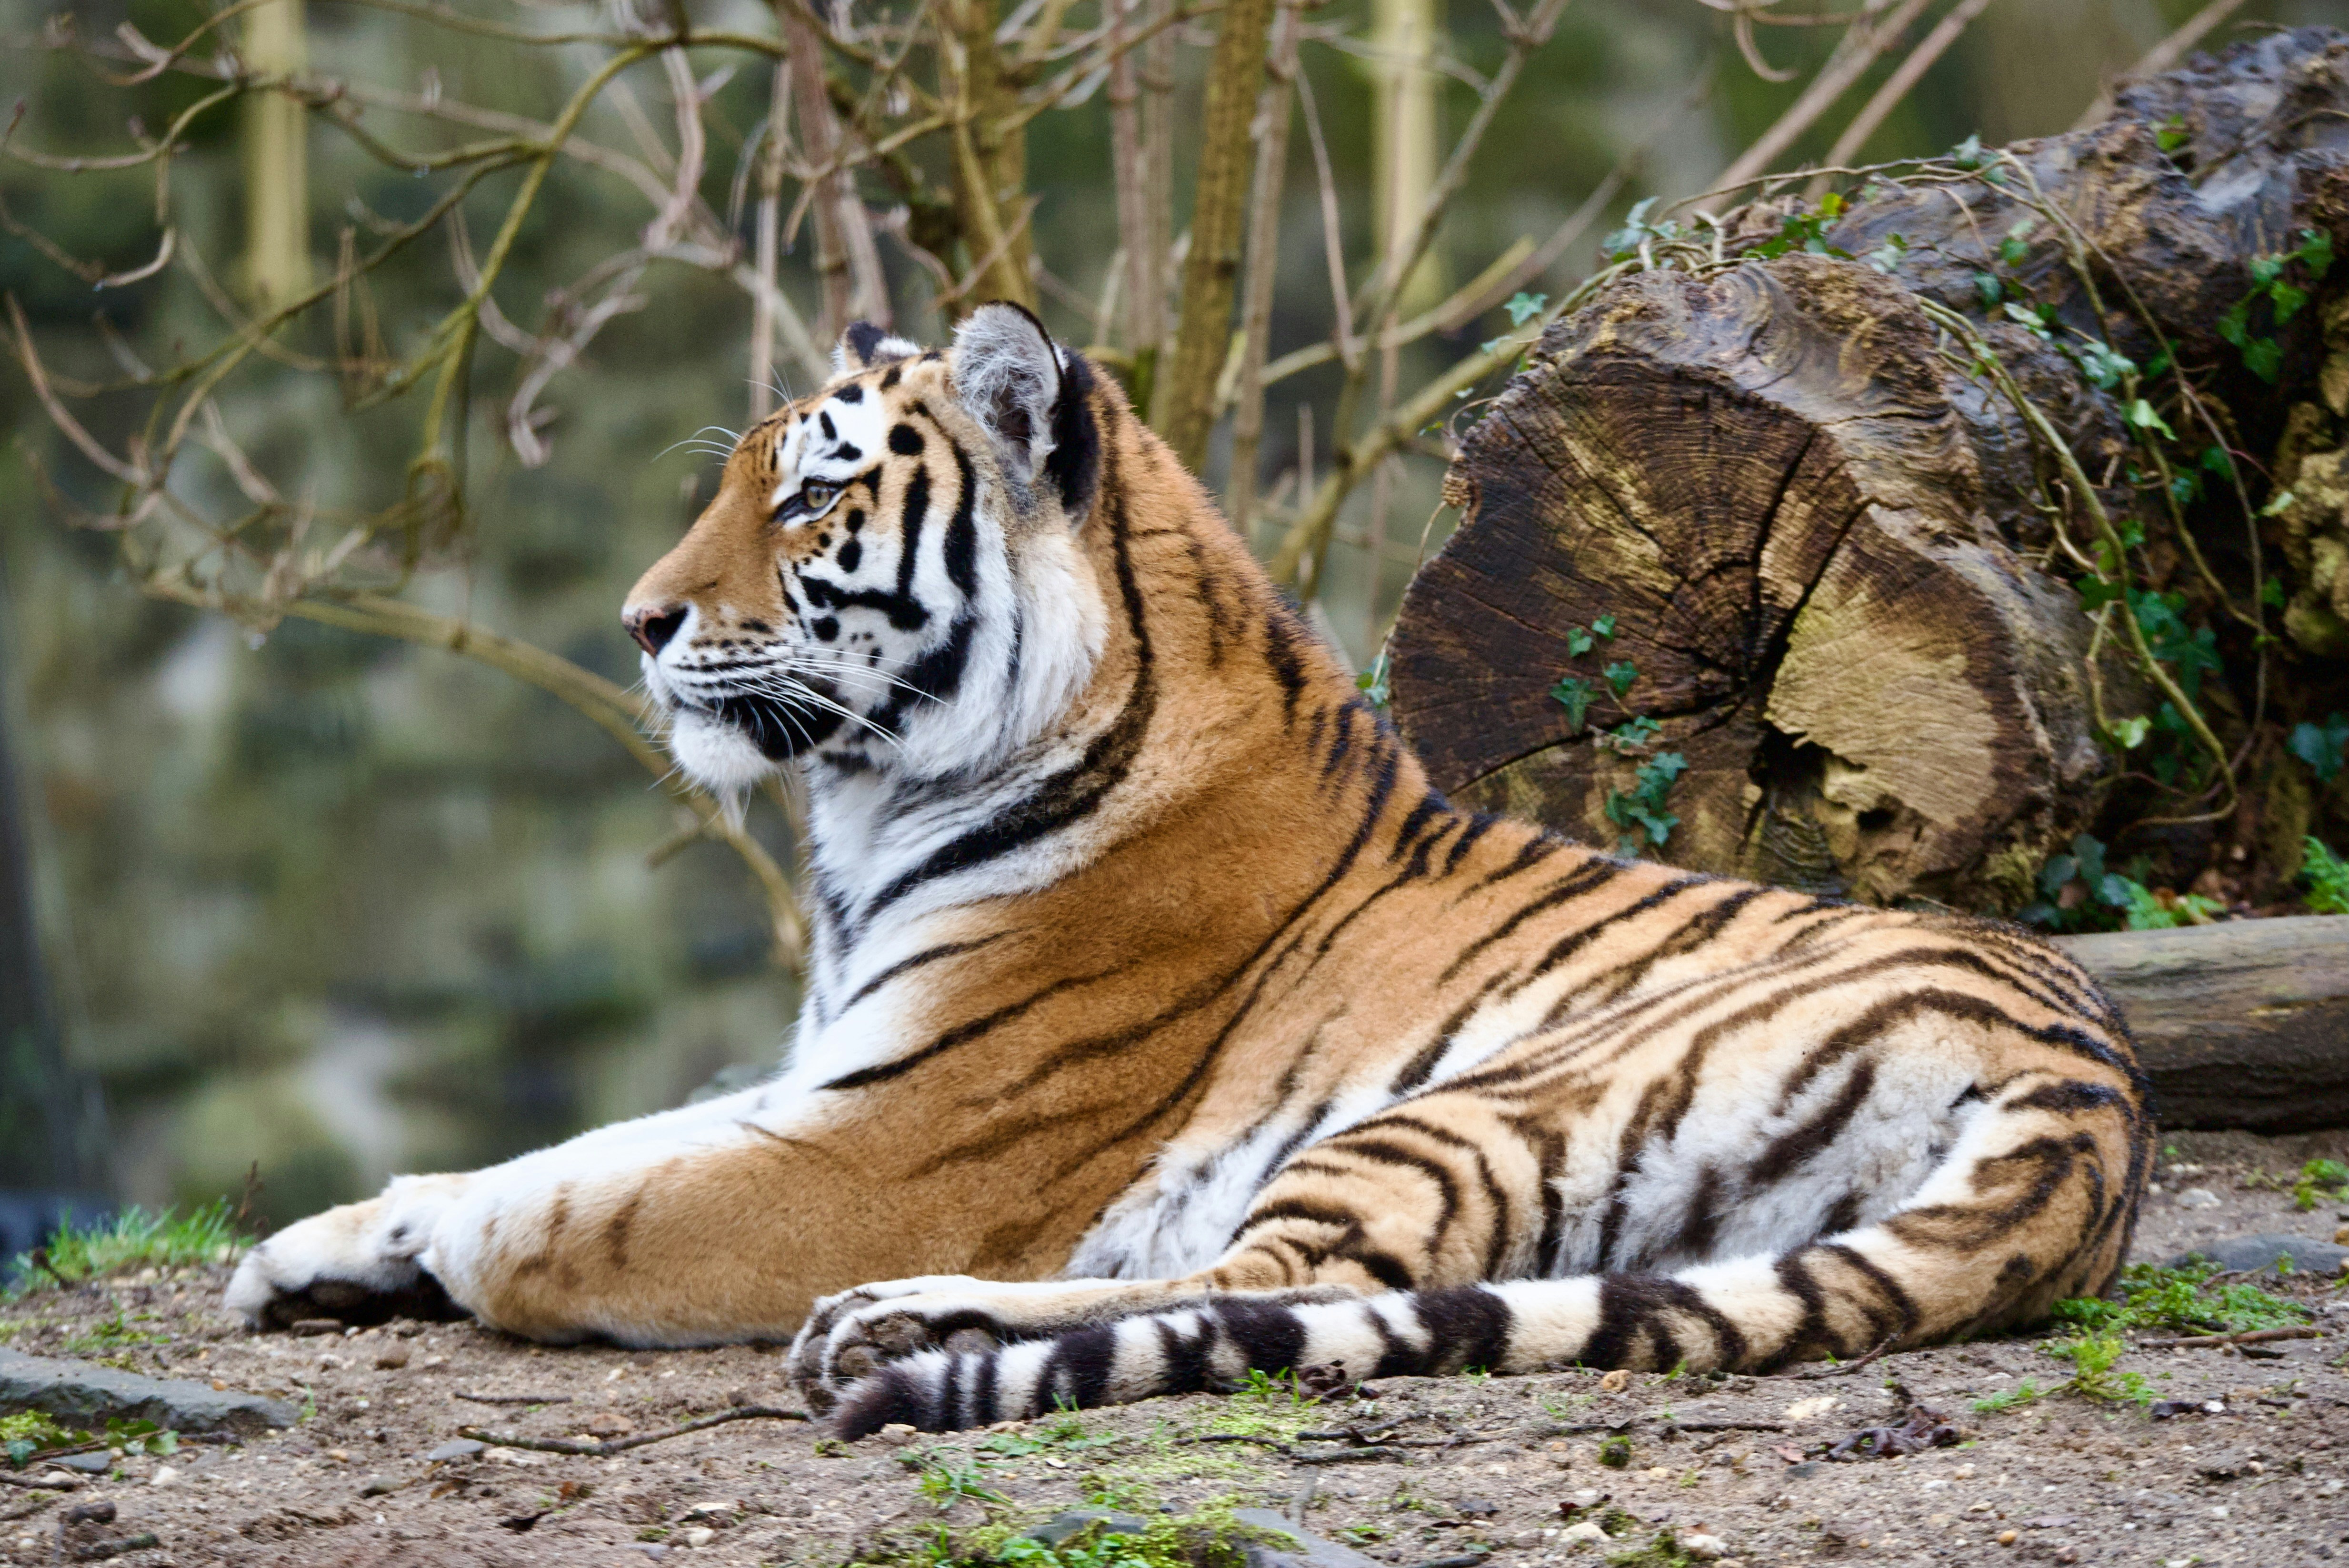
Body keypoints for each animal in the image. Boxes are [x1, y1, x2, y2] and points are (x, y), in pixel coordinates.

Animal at [227, 302, 2149, 1438]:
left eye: (808, 502)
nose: (637, 623)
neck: (881, 807)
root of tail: (2093, 1098)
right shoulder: (822, 1072)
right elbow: (576, 1142)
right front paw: (317, 1247)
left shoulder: (888, 1137)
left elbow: (594, 1195)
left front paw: (448, 1247)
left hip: (1470, 1099)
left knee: (1281, 1286)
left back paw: (892, 1326)